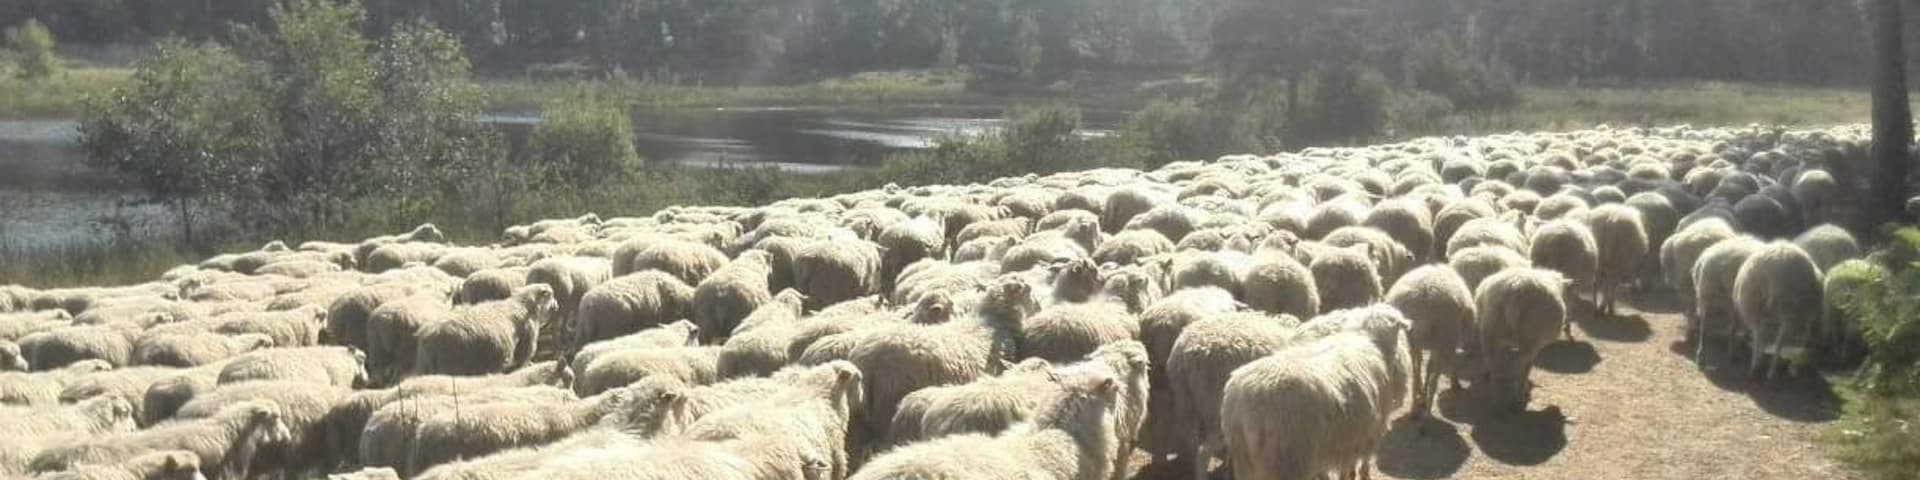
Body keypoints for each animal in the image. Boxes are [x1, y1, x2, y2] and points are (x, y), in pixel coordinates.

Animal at [416, 285, 559, 376]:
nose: (557, 305)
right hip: (453, 365)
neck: (524, 304)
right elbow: (523, 358)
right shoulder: (528, 336)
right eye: (551, 295)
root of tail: (431, 337)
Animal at [1386, 265, 1476, 417]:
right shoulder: (1447, 341)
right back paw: (1427, 411)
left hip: (1412, 338)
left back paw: (1415, 405)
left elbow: (1426, 367)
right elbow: (1437, 366)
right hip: (1442, 337)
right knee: (1435, 376)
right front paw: (1454, 383)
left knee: (1415, 370)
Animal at [1476, 267, 1569, 412]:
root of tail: (1515, 290)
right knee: (1520, 363)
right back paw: (1518, 396)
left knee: (1495, 363)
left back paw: (1497, 397)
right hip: (1530, 339)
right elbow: (1527, 366)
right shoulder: (1537, 345)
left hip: (1490, 331)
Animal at [1733, 241, 1825, 381]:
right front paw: (1794, 368)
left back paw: (1756, 366)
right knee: (1779, 342)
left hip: (1755, 304)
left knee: (1759, 334)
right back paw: (1771, 372)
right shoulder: (1806, 316)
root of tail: (1772, 274)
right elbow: (1801, 339)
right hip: (1787, 308)